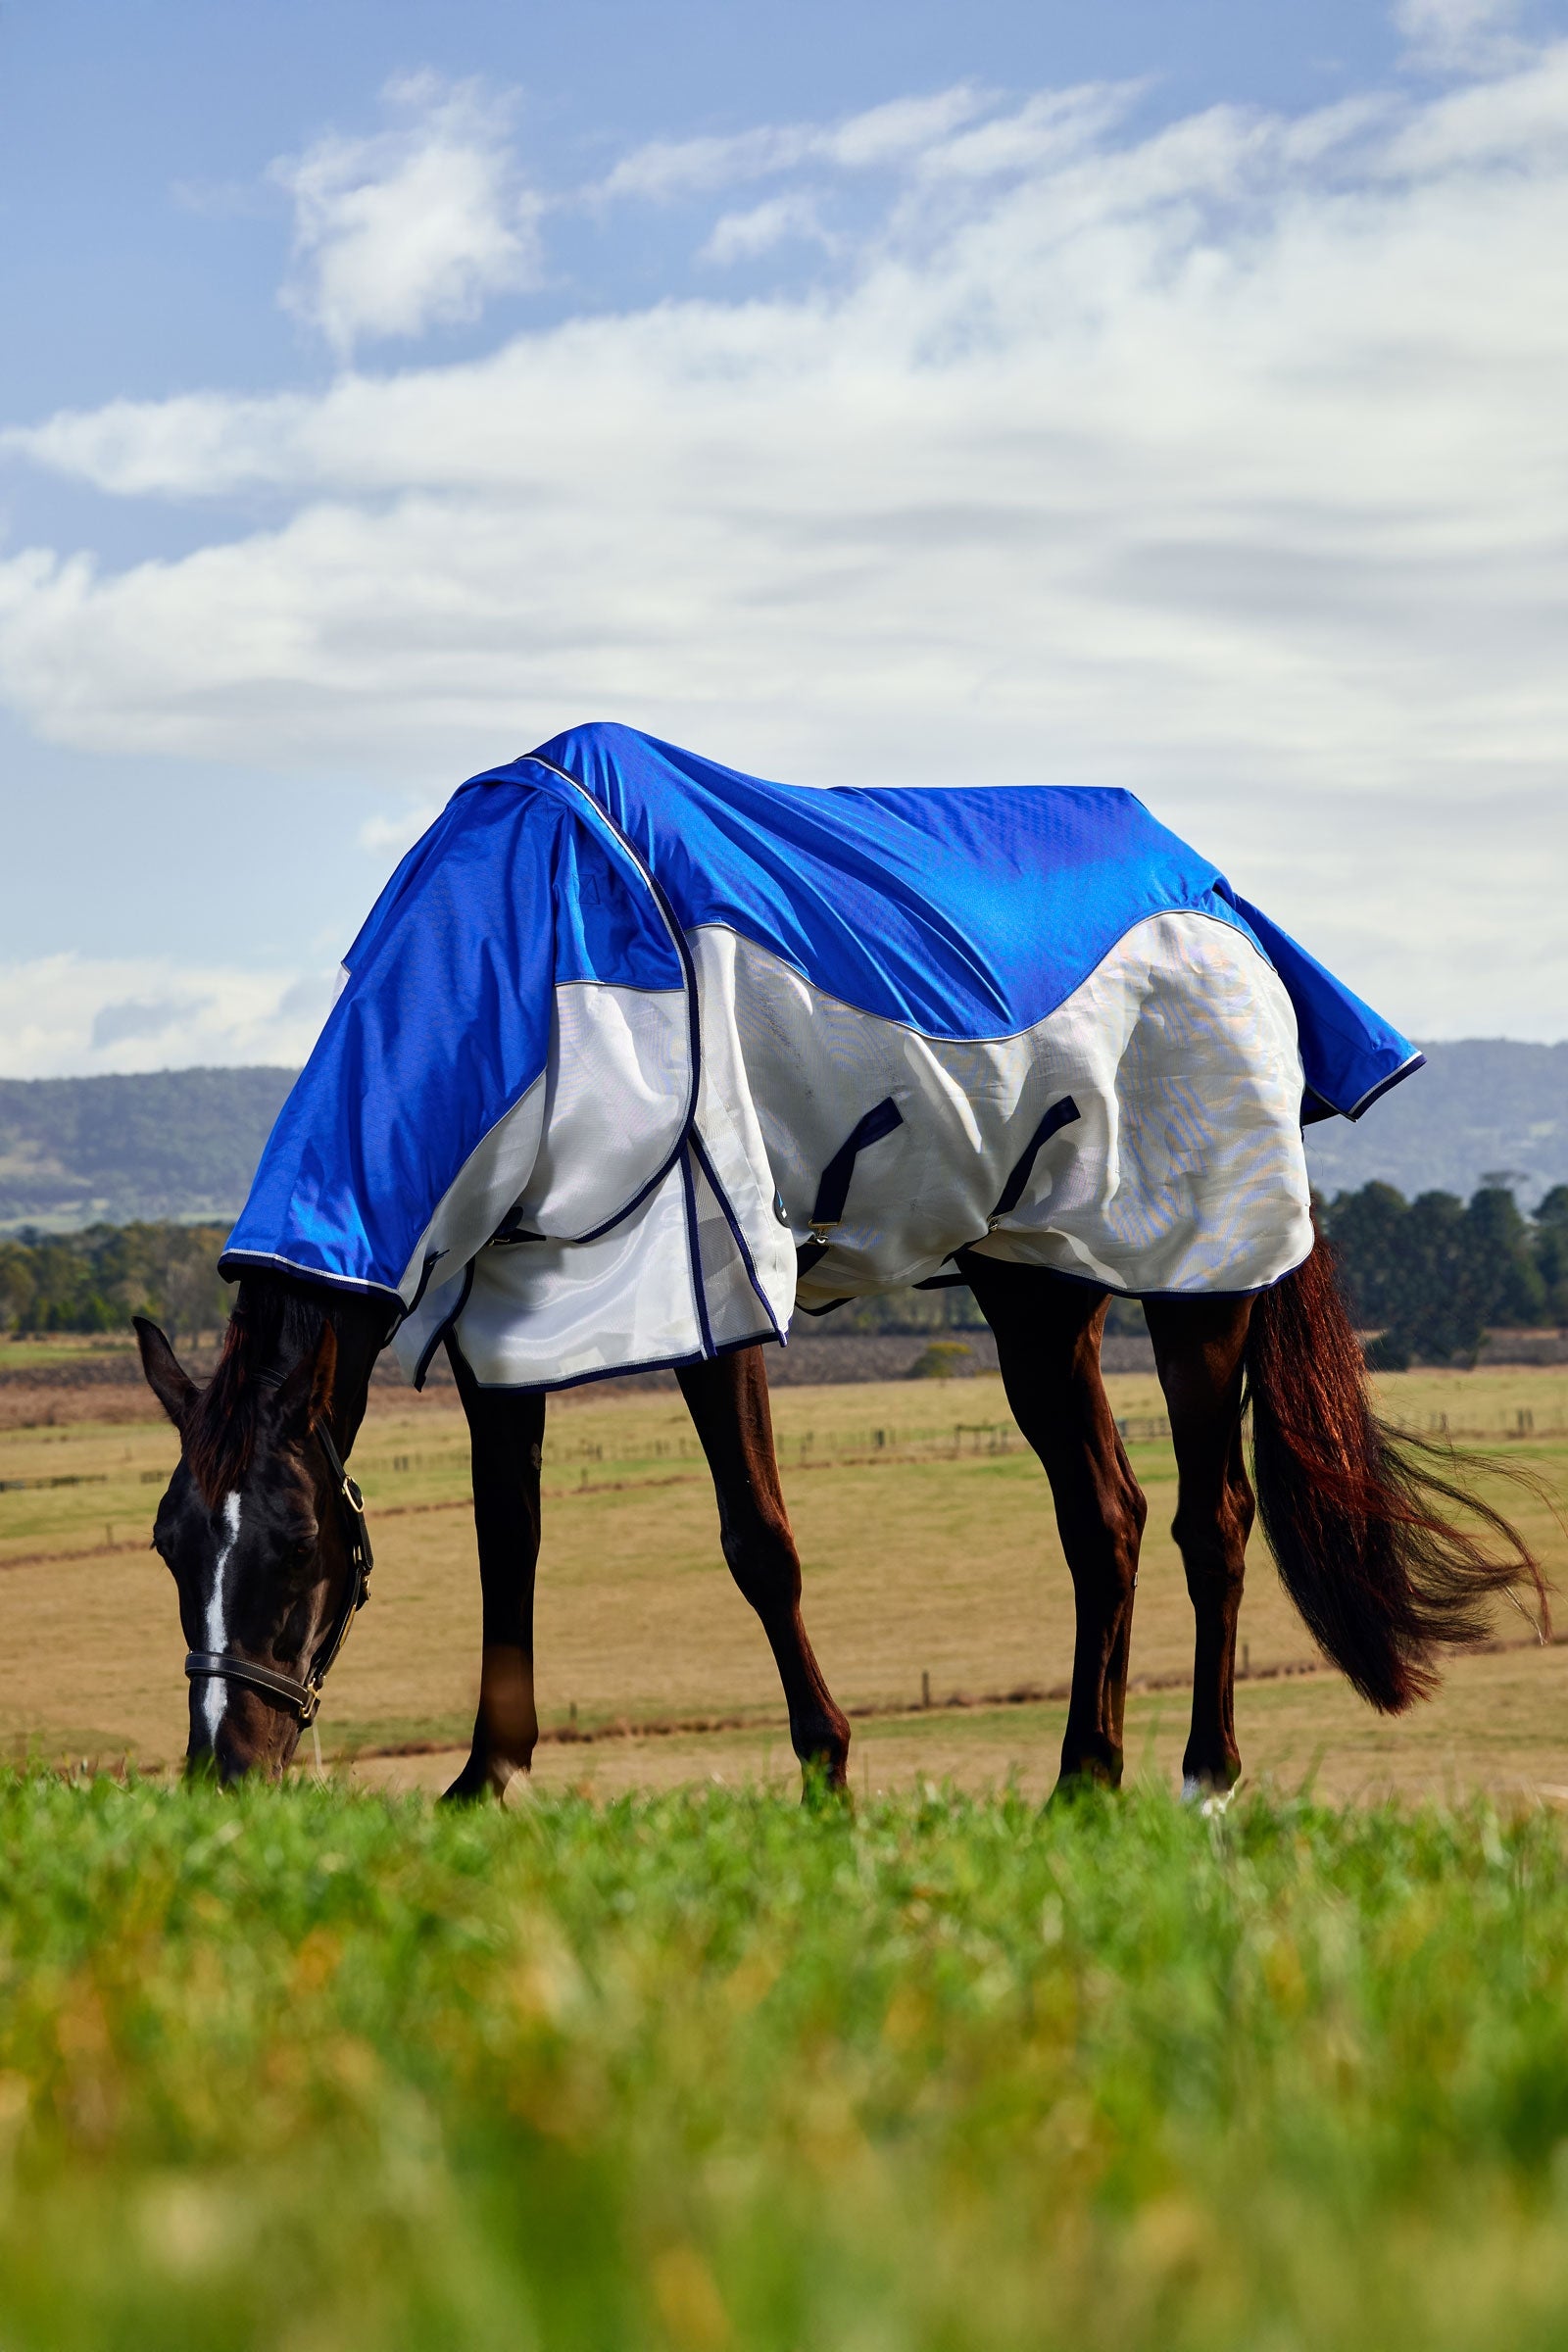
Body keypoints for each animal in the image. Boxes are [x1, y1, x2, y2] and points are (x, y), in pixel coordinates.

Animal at [134, 723, 1543, 1795]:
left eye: (298, 1547)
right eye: (172, 1546)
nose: (227, 1775)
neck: (528, 958)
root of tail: (1221, 900)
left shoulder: (709, 1282)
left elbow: (759, 1541)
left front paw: (826, 1774)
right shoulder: (508, 1315)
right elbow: (508, 1541)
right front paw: (488, 1781)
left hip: (1202, 1283)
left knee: (1214, 1517)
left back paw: (1204, 1774)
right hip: (1037, 1291)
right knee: (1106, 1519)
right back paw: (1082, 1783)